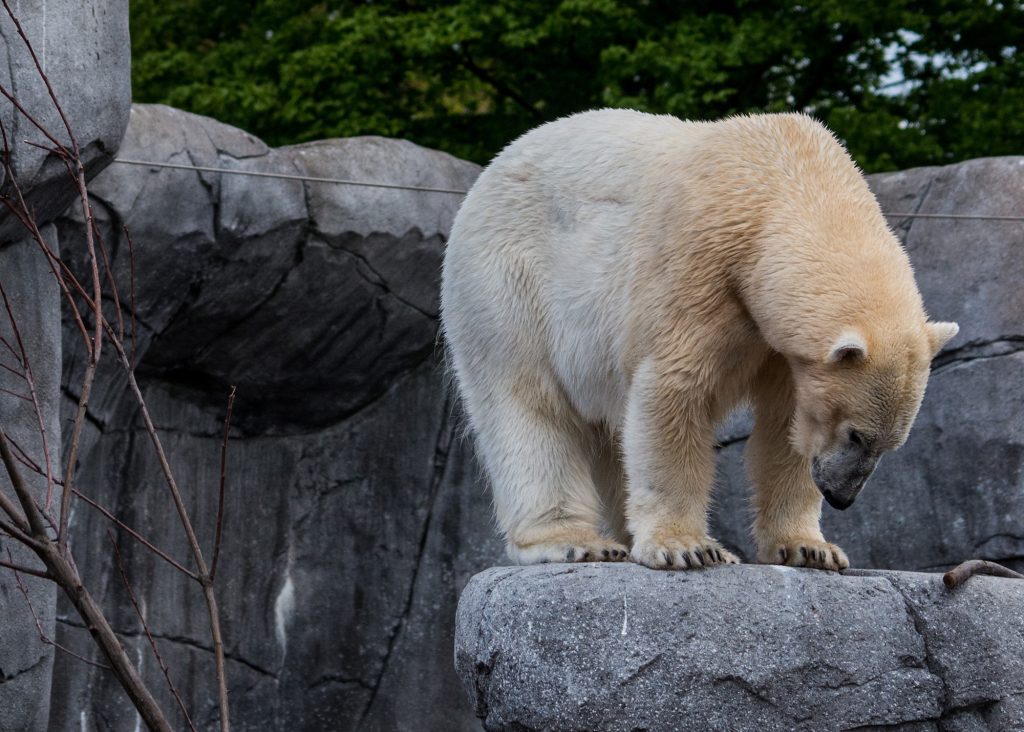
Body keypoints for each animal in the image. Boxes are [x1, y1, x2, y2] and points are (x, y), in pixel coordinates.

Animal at [442, 111, 958, 573]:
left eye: (889, 445)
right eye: (856, 434)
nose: (841, 496)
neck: (782, 175)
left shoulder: (777, 342)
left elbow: (786, 424)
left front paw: (811, 549)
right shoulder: (700, 265)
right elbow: (673, 391)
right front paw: (687, 548)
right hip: (506, 281)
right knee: (527, 402)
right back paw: (575, 541)